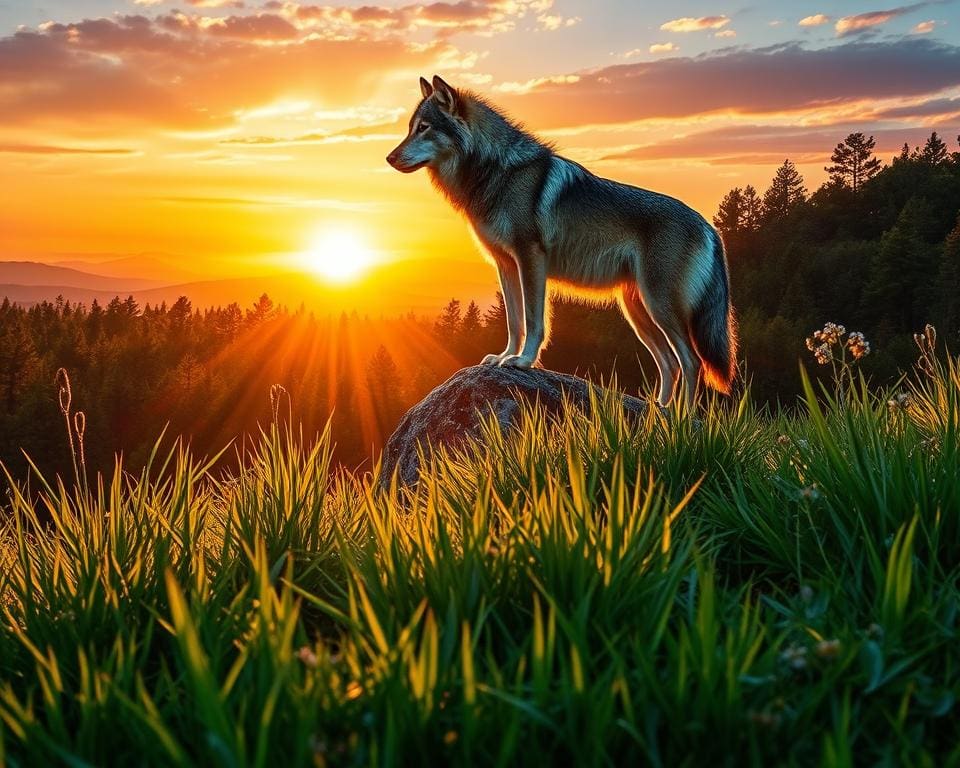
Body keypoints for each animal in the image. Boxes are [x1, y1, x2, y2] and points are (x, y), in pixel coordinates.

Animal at [387, 75, 737, 406]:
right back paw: (659, 410)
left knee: (691, 362)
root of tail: (709, 227)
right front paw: (504, 357)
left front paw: (523, 361)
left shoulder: (531, 258)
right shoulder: (505, 265)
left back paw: (680, 417)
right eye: (410, 128)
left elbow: (533, 320)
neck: (497, 170)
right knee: (670, 363)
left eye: (423, 128)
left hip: (658, 306)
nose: (389, 158)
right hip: (638, 312)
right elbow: (514, 321)